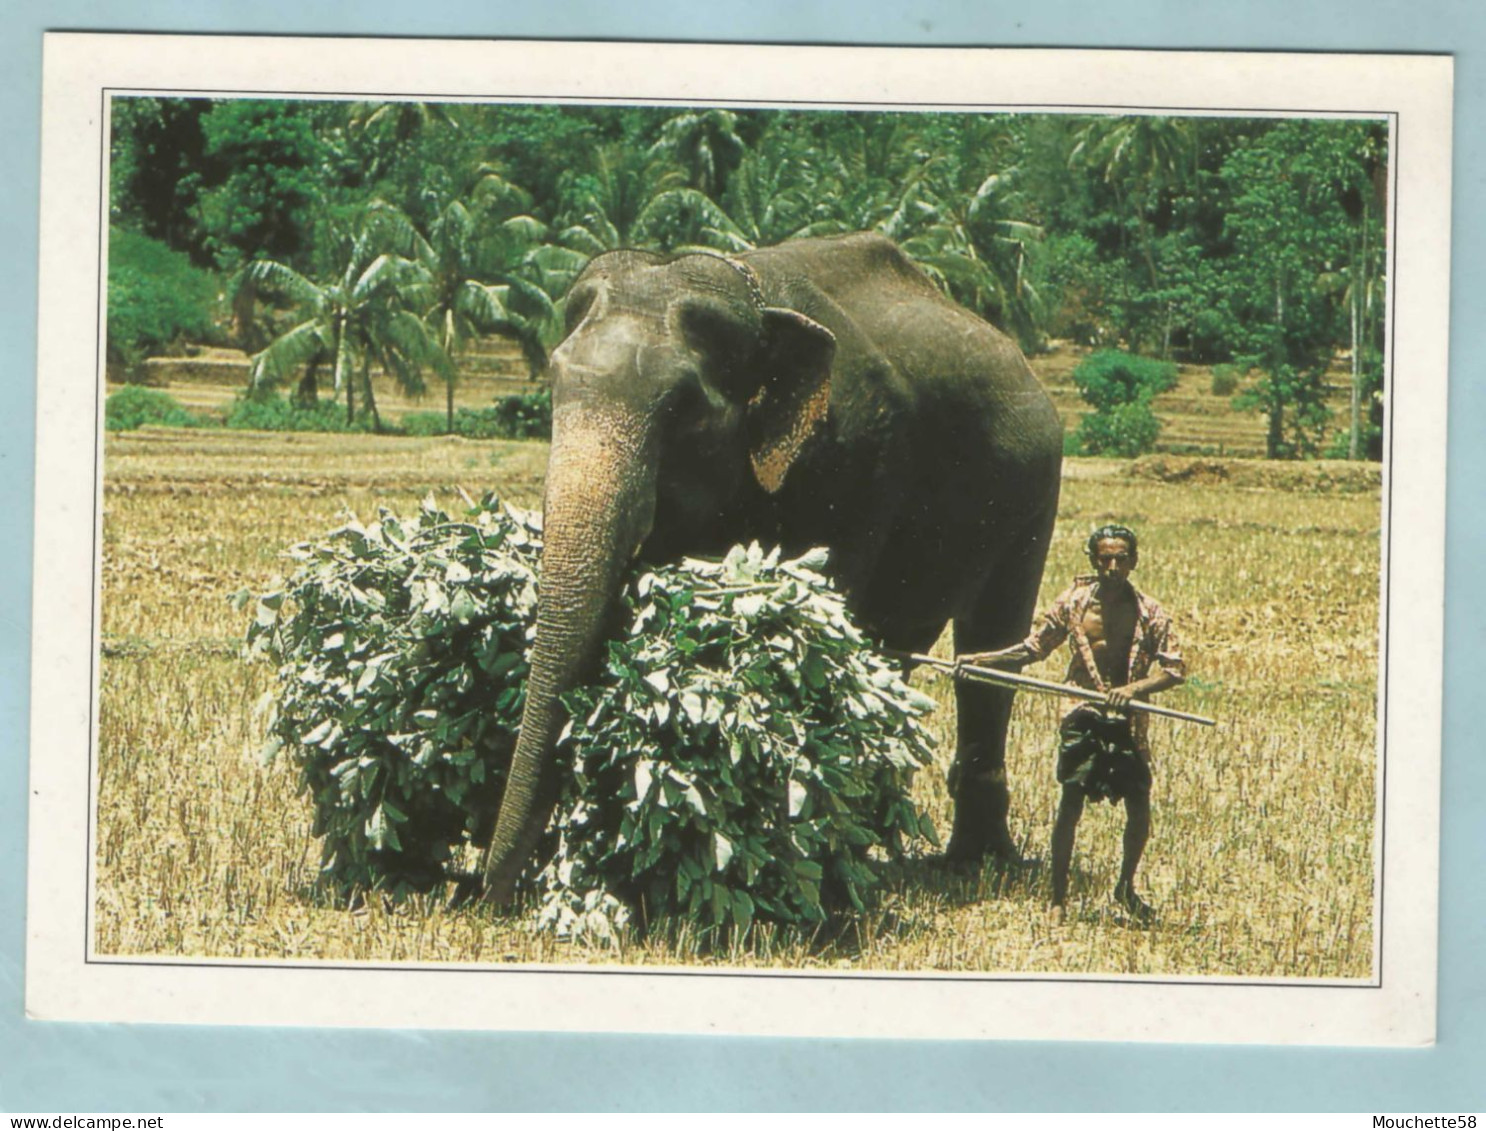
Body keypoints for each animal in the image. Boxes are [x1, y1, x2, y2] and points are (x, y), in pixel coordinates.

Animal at [481, 233, 1063, 903]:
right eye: (552, 382)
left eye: (684, 409)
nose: (482, 891)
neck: (751, 294)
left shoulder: (850, 458)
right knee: (897, 652)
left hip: (1034, 491)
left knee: (990, 651)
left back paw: (971, 860)